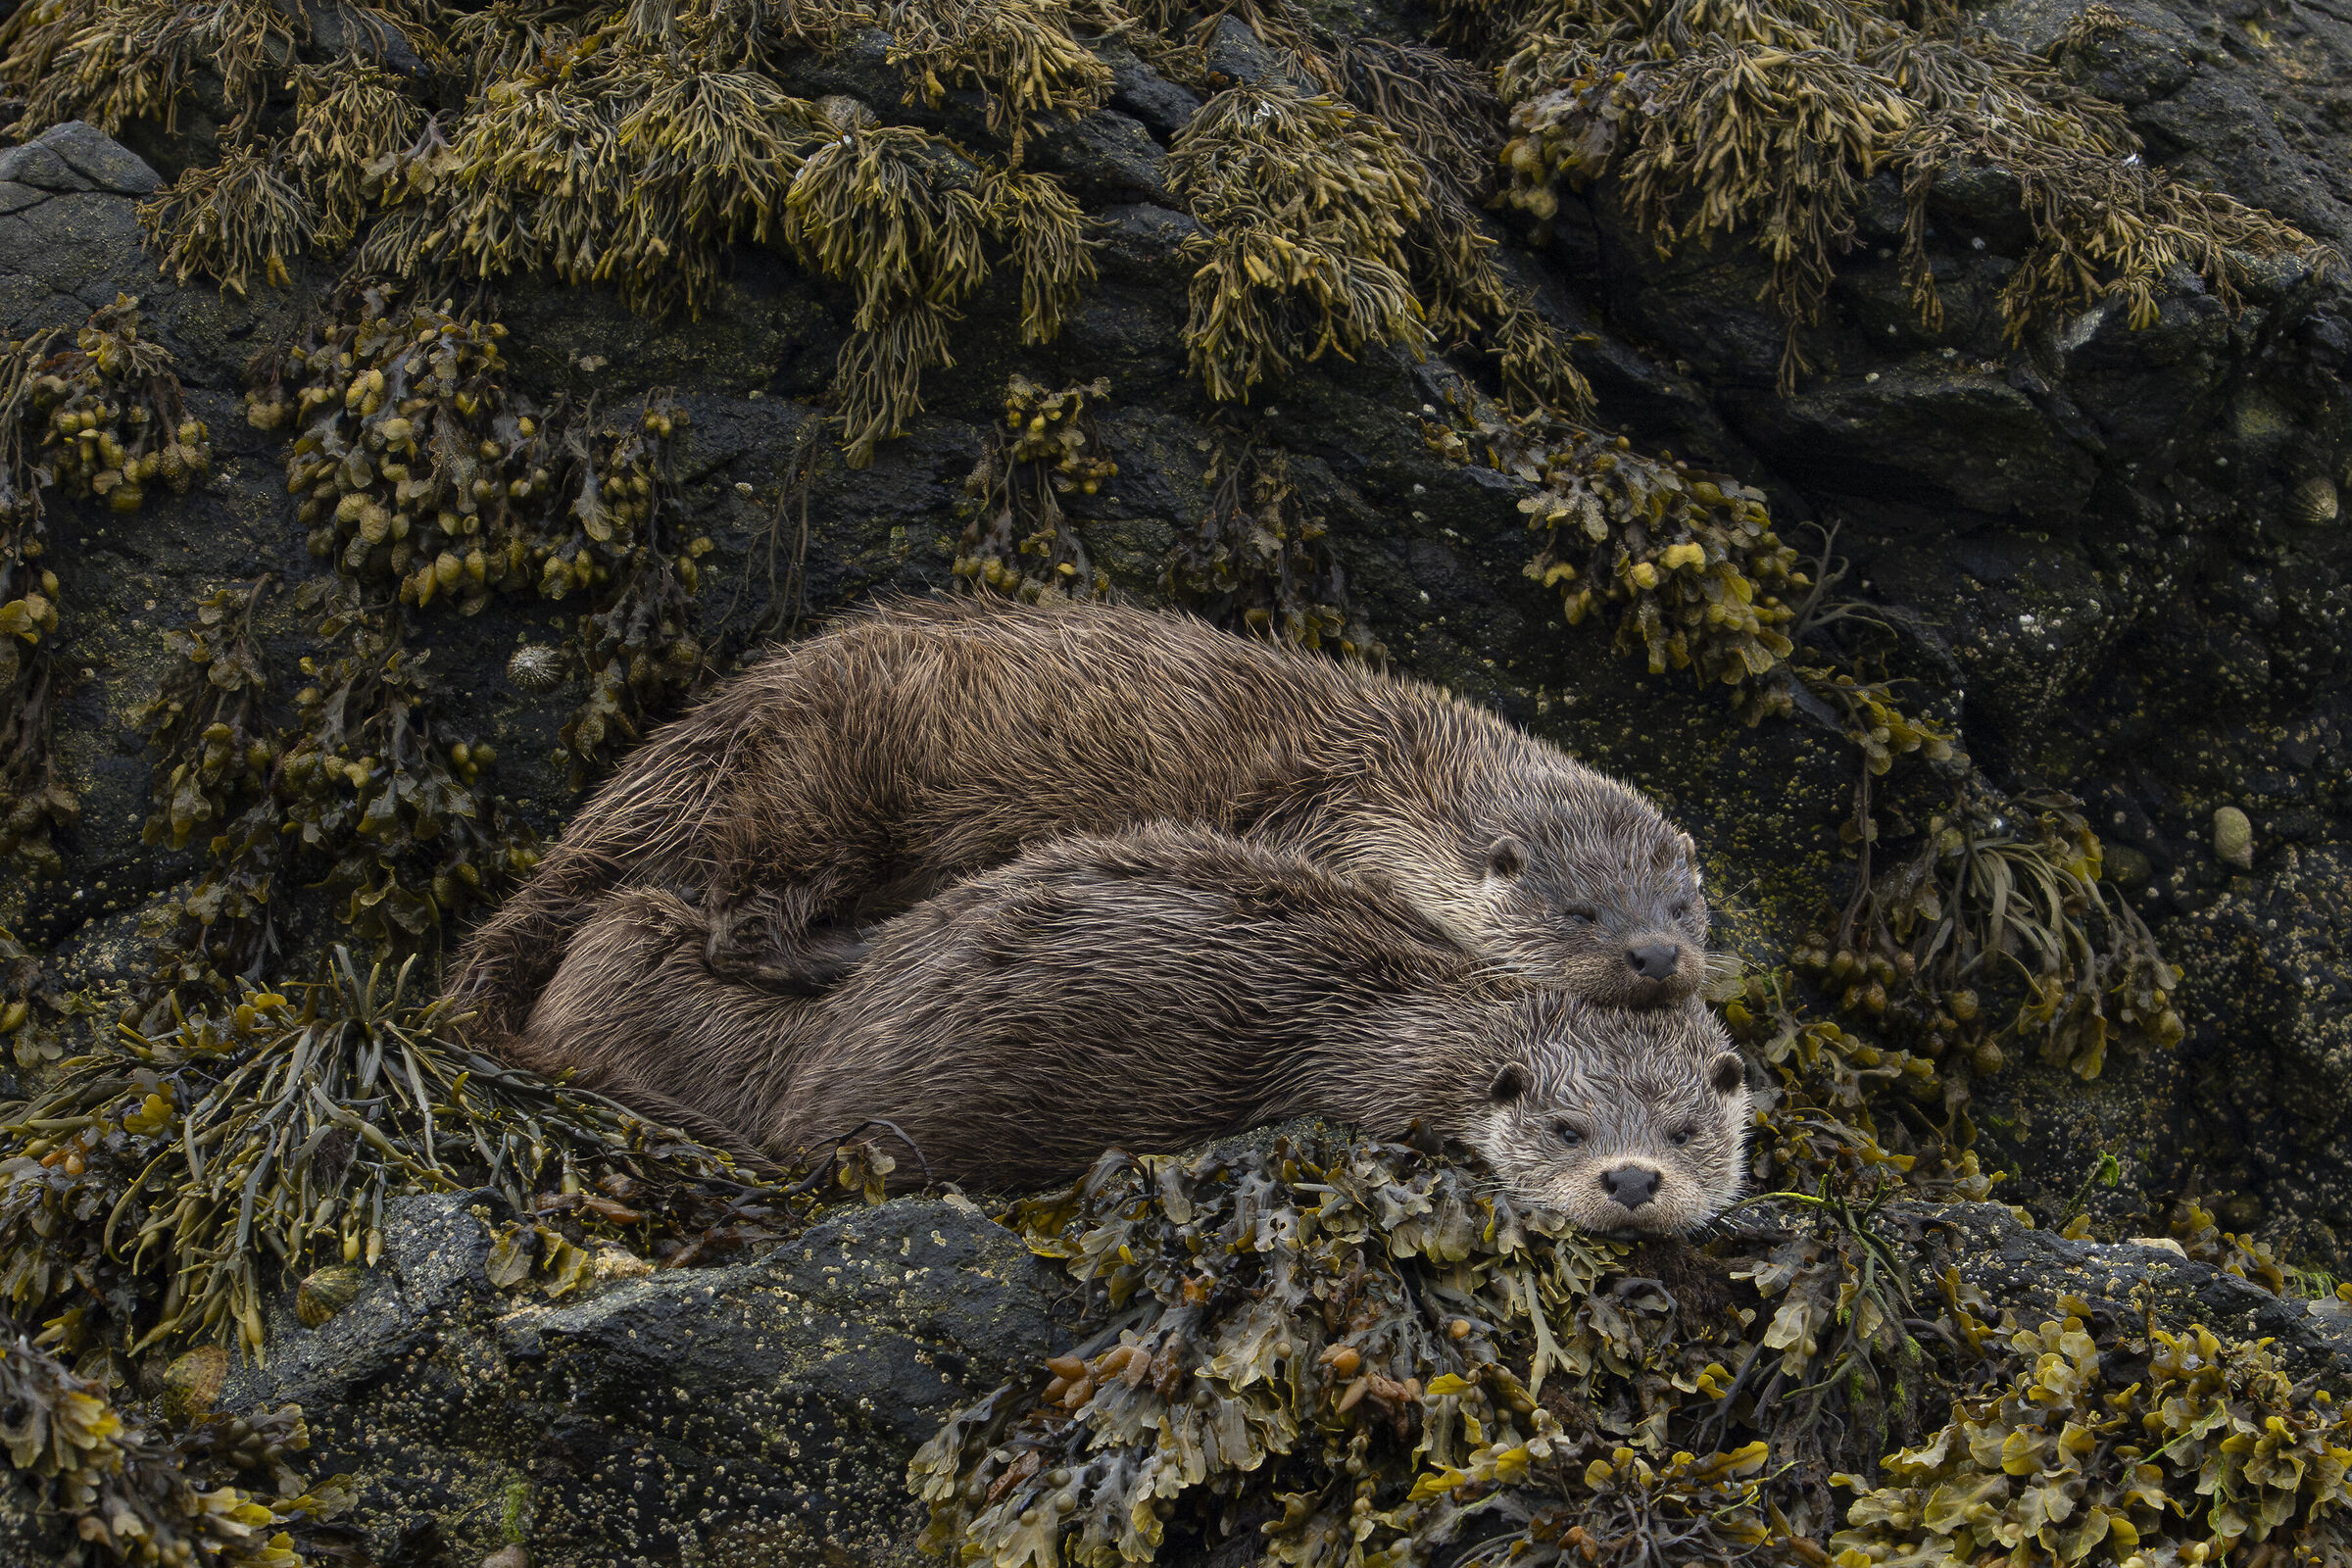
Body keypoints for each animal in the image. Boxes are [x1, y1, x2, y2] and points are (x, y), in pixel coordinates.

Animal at [451, 596, 1710, 1049]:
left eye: (1686, 904)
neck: (1383, 776)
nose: (1656, 956)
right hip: (823, 778)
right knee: (739, 922)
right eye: (1580, 910)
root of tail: (711, 724)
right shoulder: (1312, 825)